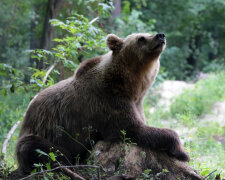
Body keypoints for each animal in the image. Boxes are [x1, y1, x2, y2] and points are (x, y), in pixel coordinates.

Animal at [15, 32, 190, 174]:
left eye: (148, 33)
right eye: (141, 38)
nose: (160, 35)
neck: (131, 86)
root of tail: (26, 116)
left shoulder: (136, 103)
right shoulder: (107, 102)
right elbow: (133, 129)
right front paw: (182, 151)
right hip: (42, 133)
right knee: (36, 148)